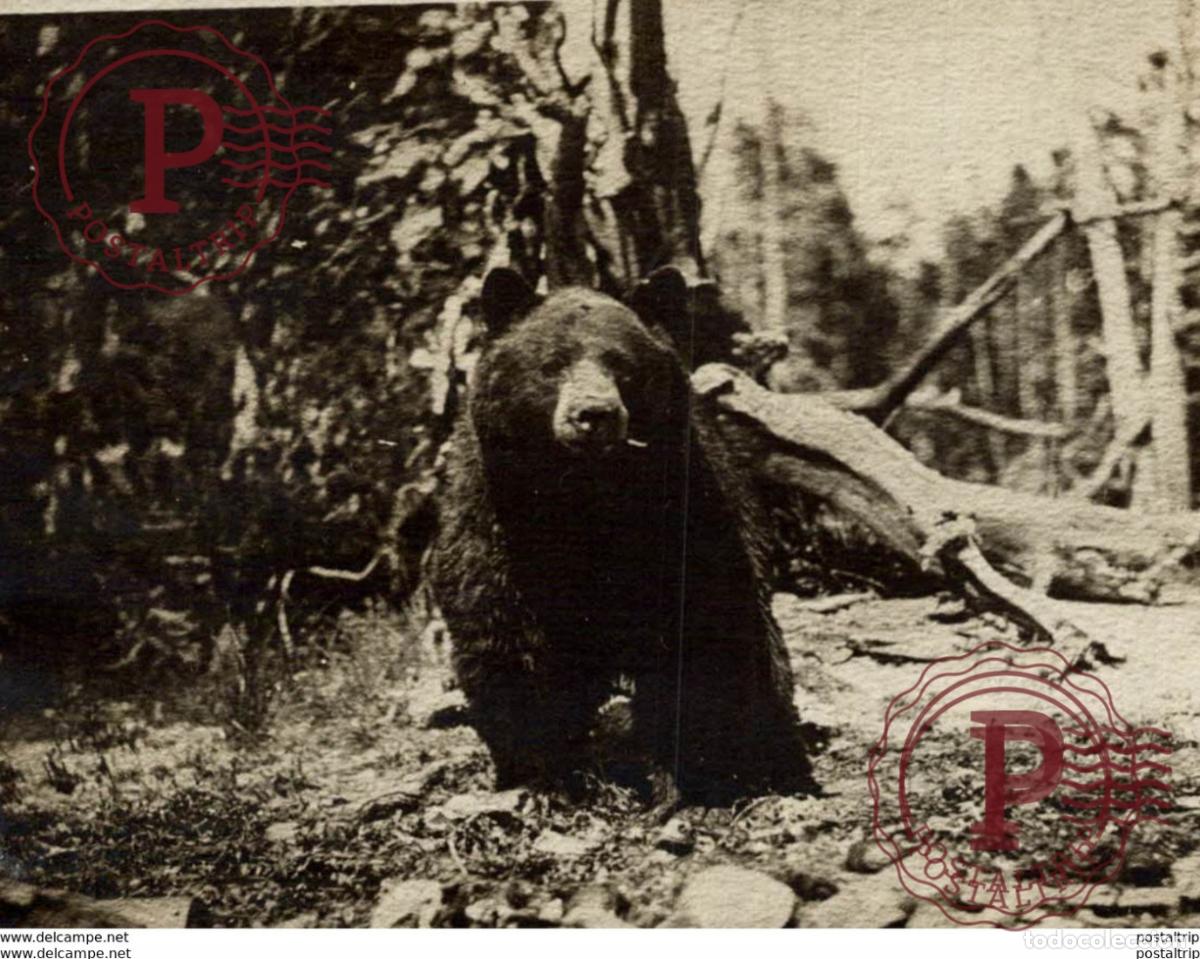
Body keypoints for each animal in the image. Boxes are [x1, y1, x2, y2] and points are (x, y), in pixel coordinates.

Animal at [429, 265, 812, 807]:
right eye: (551, 365)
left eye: (623, 366)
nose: (594, 414)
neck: (590, 494)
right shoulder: (496, 518)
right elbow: (502, 630)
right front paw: (542, 776)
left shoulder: (690, 516)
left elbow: (701, 636)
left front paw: (685, 781)